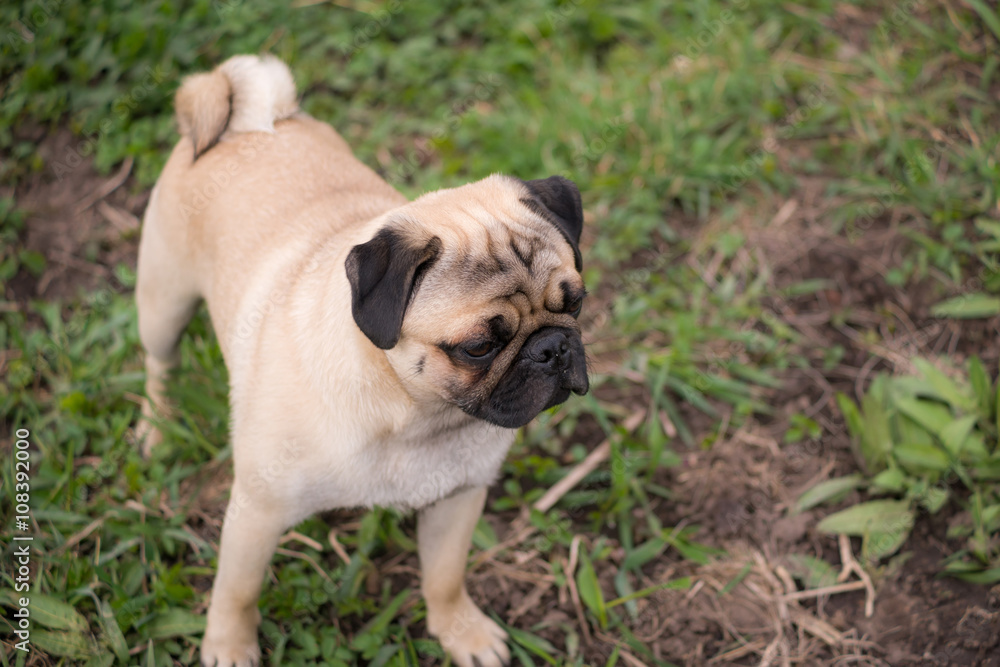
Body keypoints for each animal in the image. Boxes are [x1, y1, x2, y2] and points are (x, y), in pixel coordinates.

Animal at [140, 53, 588, 667]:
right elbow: (237, 590)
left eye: (577, 303)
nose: (553, 348)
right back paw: (156, 428)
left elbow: (445, 578)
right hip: (163, 306)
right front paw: (229, 646)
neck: (416, 418)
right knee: (159, 366)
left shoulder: (458, 499)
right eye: (479, 347)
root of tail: (237, 122)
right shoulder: (257, 510)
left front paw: (461, 632)